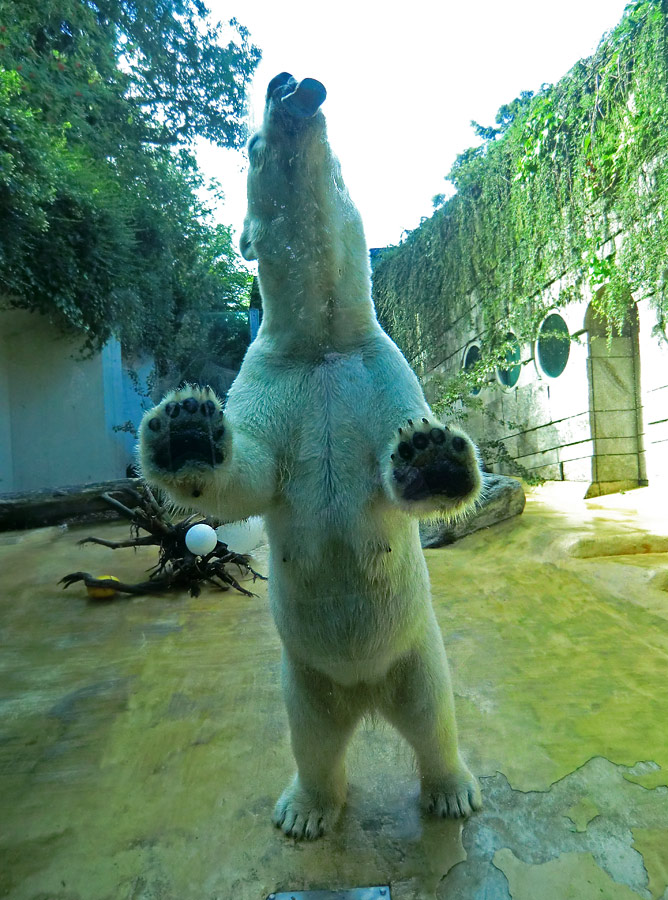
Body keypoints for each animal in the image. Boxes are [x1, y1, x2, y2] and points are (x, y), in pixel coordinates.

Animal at [138, 74, 482, 840]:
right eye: (250, 142)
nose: (290, 87)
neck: (322, 342)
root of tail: (365, 693)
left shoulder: (379, 371)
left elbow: (396, 480)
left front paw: (432, 454)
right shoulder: (271, 379)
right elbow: (246, 477)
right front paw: (185, 427)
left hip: (417, 650)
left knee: (435, 715)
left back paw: (450, 791)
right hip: (302, 678)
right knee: (314, 739)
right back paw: (305, 810)